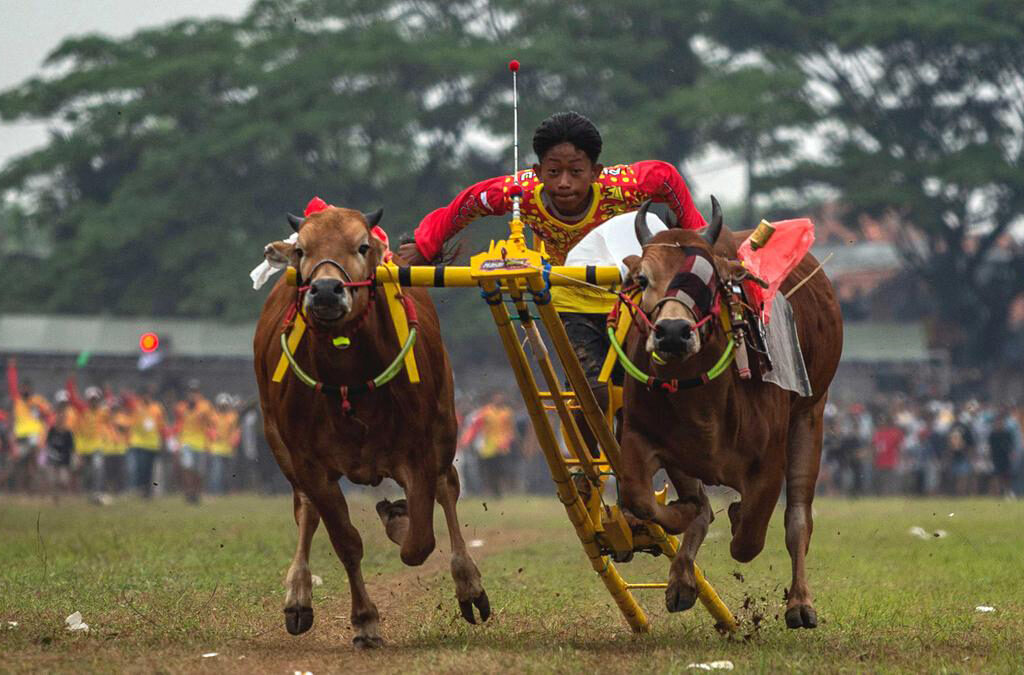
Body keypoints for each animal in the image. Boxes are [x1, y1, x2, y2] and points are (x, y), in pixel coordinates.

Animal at [249, 204, 485, 651]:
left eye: (362, 246)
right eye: (302, 249)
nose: (325, 291)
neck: (349, 381)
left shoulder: (420, 452)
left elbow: (419, 540)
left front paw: (398, 518)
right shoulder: (308, 463)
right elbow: (346, 542)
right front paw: (364, 621)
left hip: (445, 427)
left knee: (448, 489)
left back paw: (469, 585)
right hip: (278, 444)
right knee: (305, 510)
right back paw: (298, 595)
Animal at [614, 197, 839, 630]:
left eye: (709, 280)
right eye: (644, 279)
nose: (672, 332)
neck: (703, 401)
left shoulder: (770, 462)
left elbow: (749, 537)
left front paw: (735, 517)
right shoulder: (637, 437)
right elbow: (644, 501)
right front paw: (683, 515)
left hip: (810, 416)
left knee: (798, 520)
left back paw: (800, 603)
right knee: (699, 507)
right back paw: (682, 580)